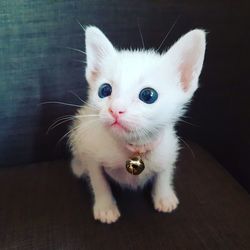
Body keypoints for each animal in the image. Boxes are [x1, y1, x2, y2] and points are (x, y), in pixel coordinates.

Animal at [69, 26, 206, 224]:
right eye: (104, 90)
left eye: (148, 95)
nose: (115, 110)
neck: (136, 146)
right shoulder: (91, 149)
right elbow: (98, 180)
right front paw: (105, 206)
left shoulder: (168, 148)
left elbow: (164, 172)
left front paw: (164, 196)